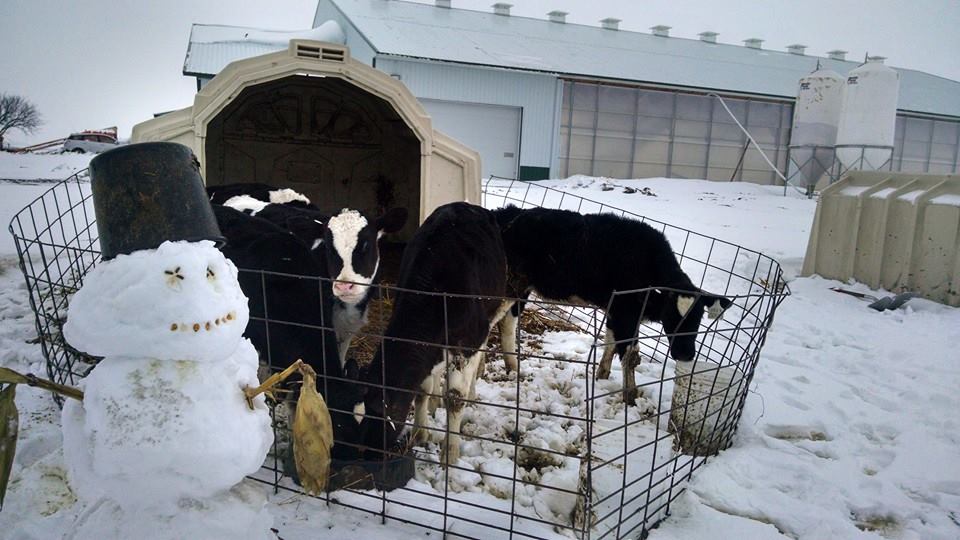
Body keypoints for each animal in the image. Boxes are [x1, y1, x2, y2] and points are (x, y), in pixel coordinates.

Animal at [360, 202, 510, 464]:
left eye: (385, 413)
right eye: (364, 406)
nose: (370, 452)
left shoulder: (469, 338)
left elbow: (456, 397)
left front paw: (450, 453)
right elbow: (423, 387)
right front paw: (420, 433)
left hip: (490, 313)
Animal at [492, 207, 732, 404]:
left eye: (698, 317)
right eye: (670, 316)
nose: (685, 354)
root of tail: (504, 214)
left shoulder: (616, 311)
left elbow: (610, 342)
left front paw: (602, 375)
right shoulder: (625, 313)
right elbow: (629, 355)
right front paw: (630, 396)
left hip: (521, 289)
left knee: (507, 322)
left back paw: (512, 367)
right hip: (509, 286)